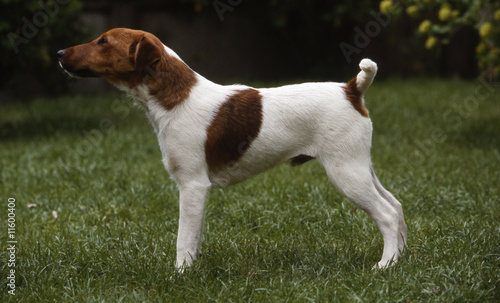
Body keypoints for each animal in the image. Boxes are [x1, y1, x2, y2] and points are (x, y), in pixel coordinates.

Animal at [58, 27, 406, 270]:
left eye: (103, 42)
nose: (60, 52)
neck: (174, 97)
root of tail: (352, 90)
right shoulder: (196, 190)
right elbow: (194, 236)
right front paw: (193, 267)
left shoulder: (193, 185)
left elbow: (183, 238)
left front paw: (180, 274)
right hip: (360, 166)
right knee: (396, 204)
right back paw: (401, 258)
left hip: (345, 171)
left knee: (387, 214)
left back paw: (385, 264)